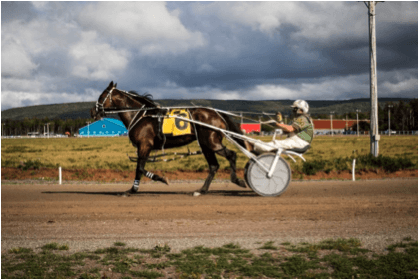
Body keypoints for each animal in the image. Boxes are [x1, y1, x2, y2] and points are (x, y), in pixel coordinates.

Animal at [90, 81, 251, 195]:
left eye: (102, 96)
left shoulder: (145, 145)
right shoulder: (144, 147)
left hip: (211, 142)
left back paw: (237, 180)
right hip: (206, 144)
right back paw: (202, 190)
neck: (142, 116)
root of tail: (217, 113)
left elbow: (140, 168)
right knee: (213, 166)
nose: (93, 111)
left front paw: (143, 186)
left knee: (231, 155)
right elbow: (140, 168)